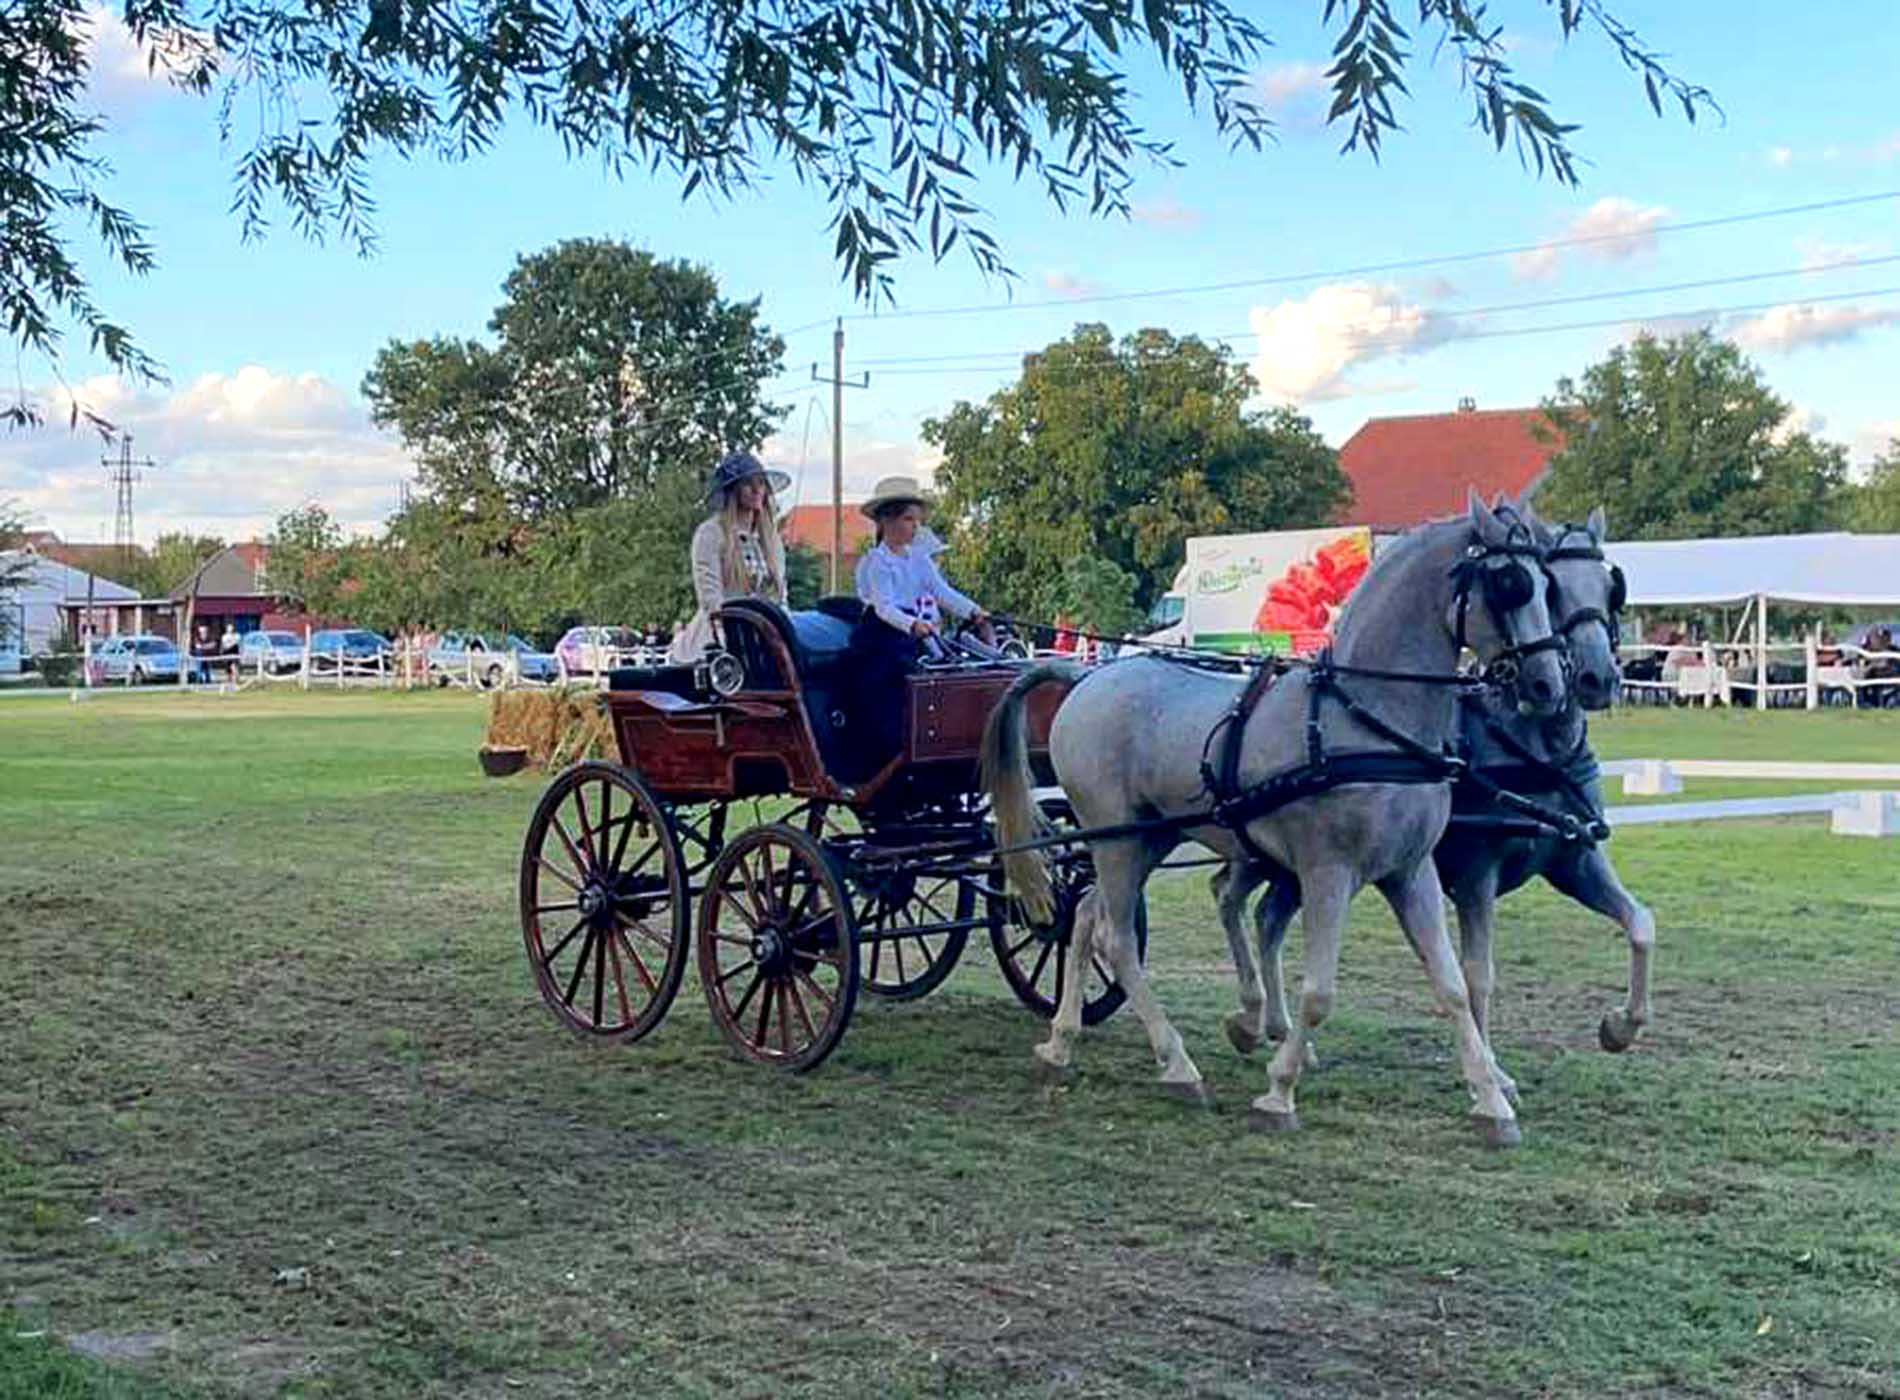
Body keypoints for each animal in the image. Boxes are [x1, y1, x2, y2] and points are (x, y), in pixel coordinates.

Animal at [981, 495, 1573, 1148]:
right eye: (1510, 583)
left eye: (1547, 582)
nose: (1548, 685)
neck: (1365, 721)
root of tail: (1086, 677)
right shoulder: (1327, 874)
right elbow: (1318, 993)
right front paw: (1278, 1091)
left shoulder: (1409, 872)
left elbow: (1451, 987)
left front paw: (1492, 1103)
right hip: (1118, 839)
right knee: (1118, 940)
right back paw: (1178, 1064)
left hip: (1146, 839)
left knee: (1085, 919)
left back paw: (1062, 1042)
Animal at [1215, 506, 1655, 1093]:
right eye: (1549, 588)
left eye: (1612, 588)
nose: (1595, 678)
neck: (1532, 750)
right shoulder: (1476, 875)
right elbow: (1477, 976)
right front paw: (1492, 1074)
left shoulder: (1573, 859)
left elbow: (1640, 924)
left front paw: (1619, 1027)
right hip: (1264, 850)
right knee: (1230, 898)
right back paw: (1253, 1020)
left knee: (1263, 915)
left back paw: (1280, 1033)